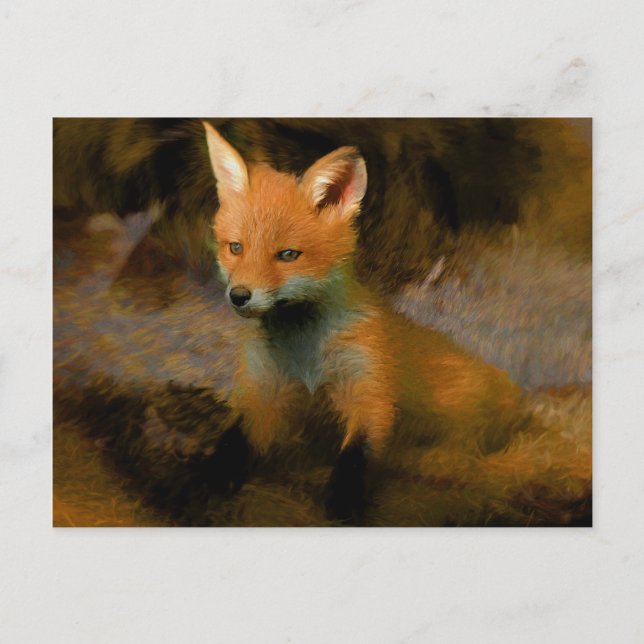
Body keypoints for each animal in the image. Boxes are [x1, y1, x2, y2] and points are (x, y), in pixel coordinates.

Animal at [202, 121, 524, 523]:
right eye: (236, 248)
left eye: (288, 255)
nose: (239, 296)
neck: (306, 353)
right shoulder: (264, 390)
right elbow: (236, 439)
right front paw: (213, 477)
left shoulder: (369, 387)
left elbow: (357, 453)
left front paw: (343, 503)